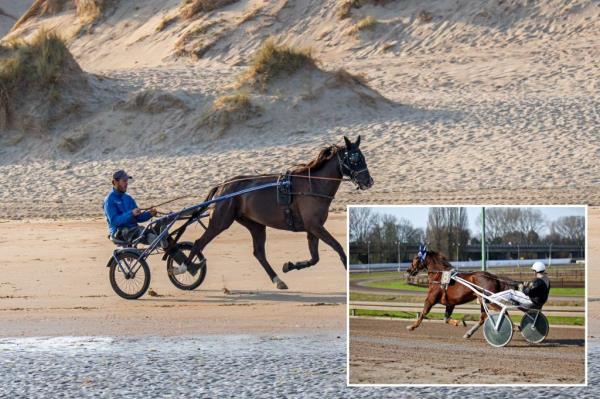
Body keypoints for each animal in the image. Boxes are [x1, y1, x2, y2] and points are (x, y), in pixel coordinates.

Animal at [190, 136, 372, 290]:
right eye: (354, 159)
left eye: (363, 157)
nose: (369, 181)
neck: (313, 185)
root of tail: (223, 185)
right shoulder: (315, 226)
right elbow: (338, 247)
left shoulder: (312, 228)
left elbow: (315, 258)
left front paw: (289, 266)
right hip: (221, 221)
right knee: (199, 243)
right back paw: (188, 268)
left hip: (256, 225)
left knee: (259, 253)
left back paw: (278, 280)